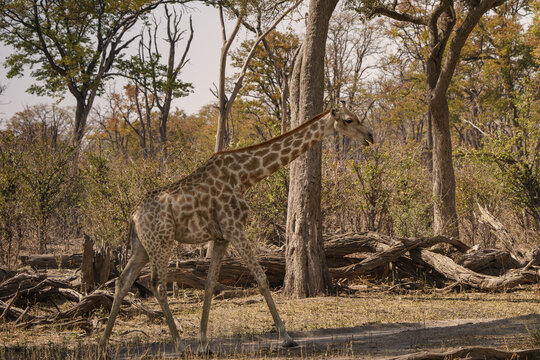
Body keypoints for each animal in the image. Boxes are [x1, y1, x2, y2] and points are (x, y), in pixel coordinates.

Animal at [99, 101, 374, 352]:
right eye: (349, 119)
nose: (370, 137)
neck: (245, 176)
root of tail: (134, 214)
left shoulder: (221, 236)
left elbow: (210, 285)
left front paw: (204, 342)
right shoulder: (234, 227)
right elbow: (261, 278)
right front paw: (286, 337)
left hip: (142, 246)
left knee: (122, 281)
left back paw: (104, 343)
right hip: (161, 242)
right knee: (157, 283)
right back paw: (179, 344)